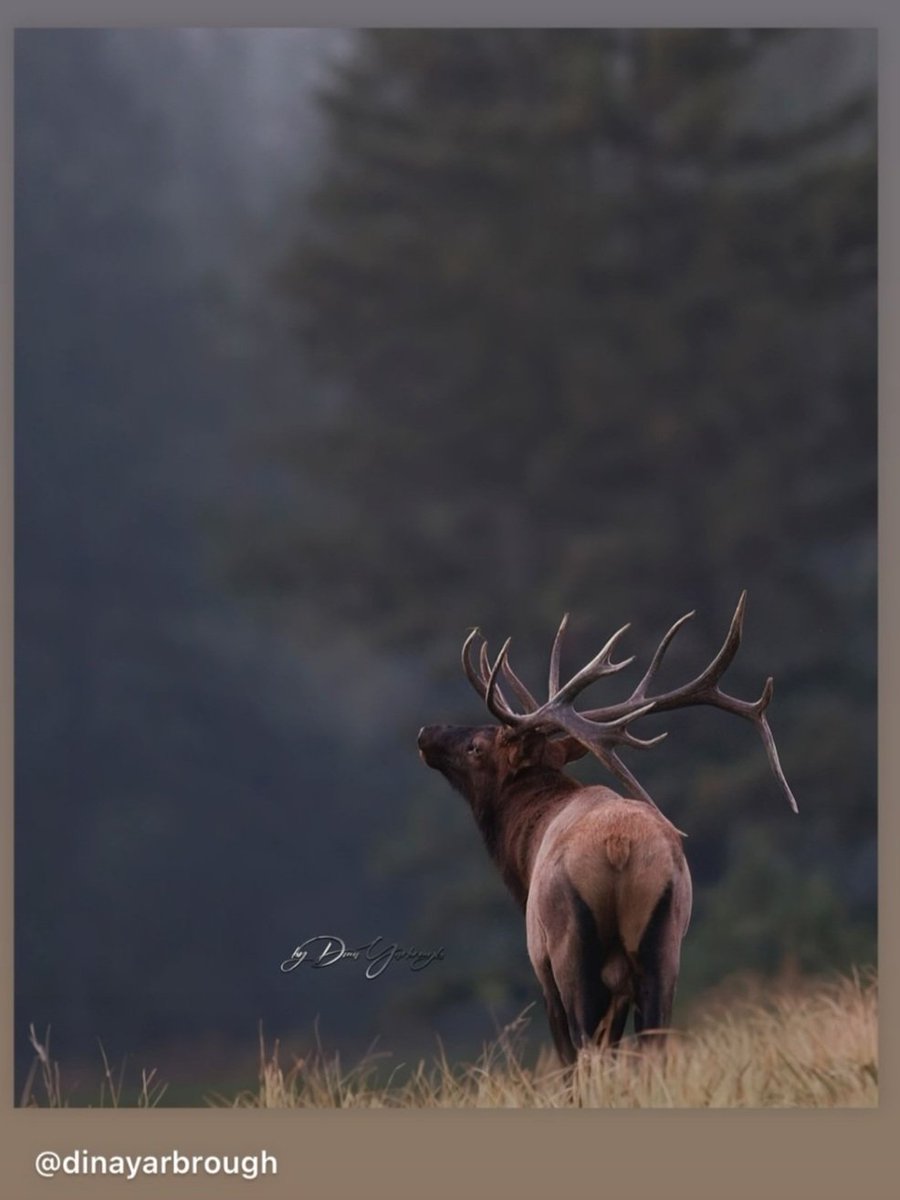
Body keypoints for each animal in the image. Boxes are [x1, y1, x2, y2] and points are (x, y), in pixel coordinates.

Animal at [417, 592, 797, 1064]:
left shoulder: (539, 961)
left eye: (476, 746)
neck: (523, 853)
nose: (426, 732)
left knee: (586, 1048)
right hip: (664, 946)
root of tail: (620, 848)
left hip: (571, 953)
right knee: (652, 1042)